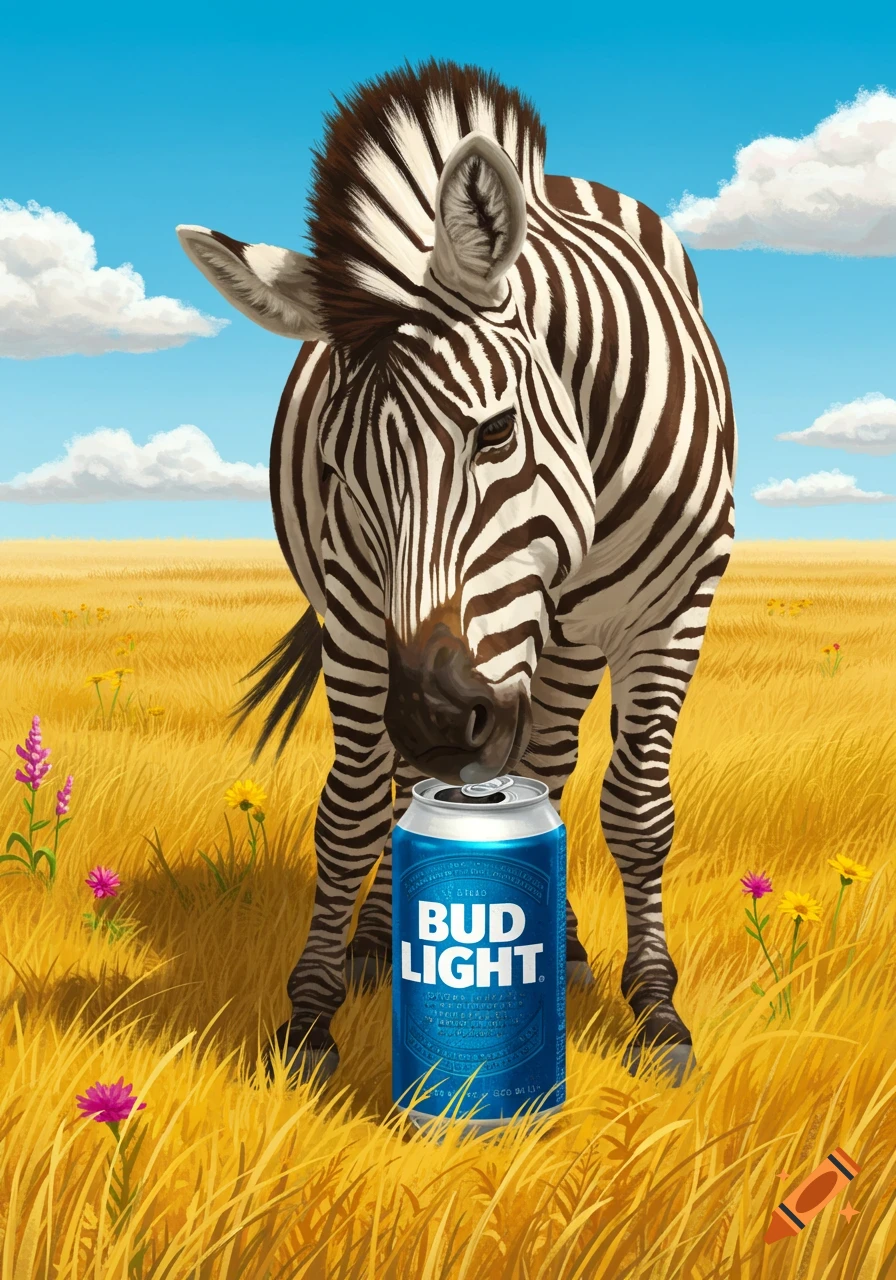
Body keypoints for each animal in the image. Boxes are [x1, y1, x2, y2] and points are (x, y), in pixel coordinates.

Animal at [177, 60, 735, 1089]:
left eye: (497, 432)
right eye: (336, 471)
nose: (438, 720)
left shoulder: (673, 609)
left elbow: (637, 809)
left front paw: (657, 1011)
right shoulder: (361, 613)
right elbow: (355, 807)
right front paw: (311, 1016)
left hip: (570, 644)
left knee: (546, 766)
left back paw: (563, 942)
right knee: (420, 781)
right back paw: (382, 935)